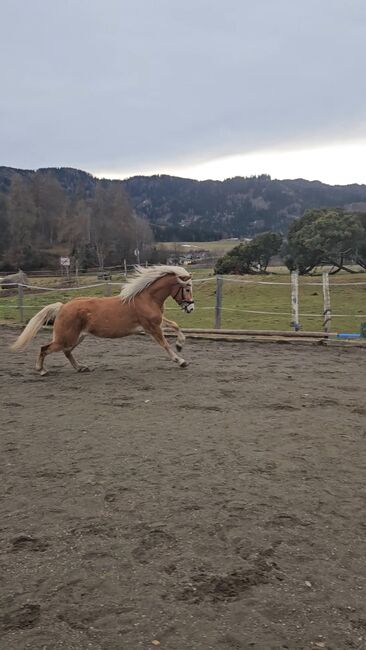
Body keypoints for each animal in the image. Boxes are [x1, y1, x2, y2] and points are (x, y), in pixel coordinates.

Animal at [10, 264, 194, 374]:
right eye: (187, 288)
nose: (191, 308)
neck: (146, 298)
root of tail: (62, 306)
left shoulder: (157, 321)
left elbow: (175, 325)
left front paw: (180, 345)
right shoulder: (152, 327)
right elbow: (165, 344)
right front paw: (181, 360)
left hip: (77, 337)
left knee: (67, 352)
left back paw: (81, 367)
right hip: (66, 338)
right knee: (45, 348)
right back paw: (41, 370)